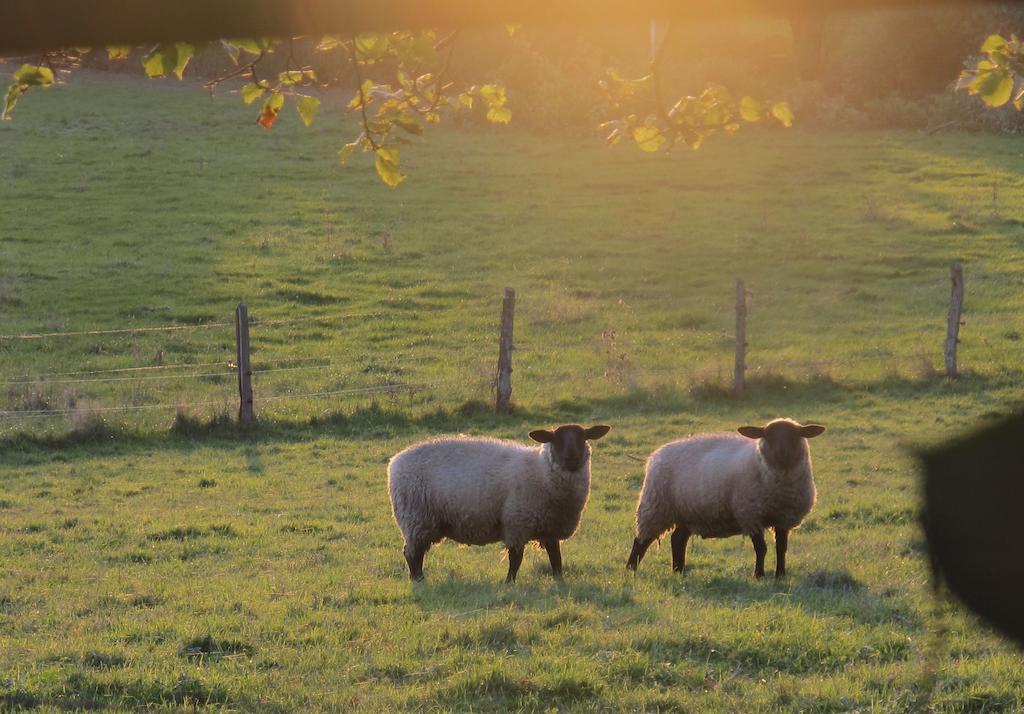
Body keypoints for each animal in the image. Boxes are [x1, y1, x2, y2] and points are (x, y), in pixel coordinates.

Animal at [385, 424, 606, 577]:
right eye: (556, 439)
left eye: (583, 437)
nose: (571, 457)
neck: (541, 471)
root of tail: (394, 462)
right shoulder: (517, 523)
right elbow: (516, 559)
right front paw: (509, 583)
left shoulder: (550, 528)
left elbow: (556, 558)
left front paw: (559, 581)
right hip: (416, 518)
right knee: (412, 554)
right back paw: (418, 580)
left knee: (415, 552)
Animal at [622, 417, 823, 577]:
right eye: (767, 435)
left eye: (795, 435)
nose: (782, 453)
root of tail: (656, 454)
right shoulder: (750, 515)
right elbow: (761, 548)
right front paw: (758, 575)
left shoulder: (783, 518)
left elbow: (781, 548)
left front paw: (780, 575)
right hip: (655, 506)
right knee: (641, 541)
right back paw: (631, 569)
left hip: (687, 511)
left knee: (677, 539)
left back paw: (678, 571)